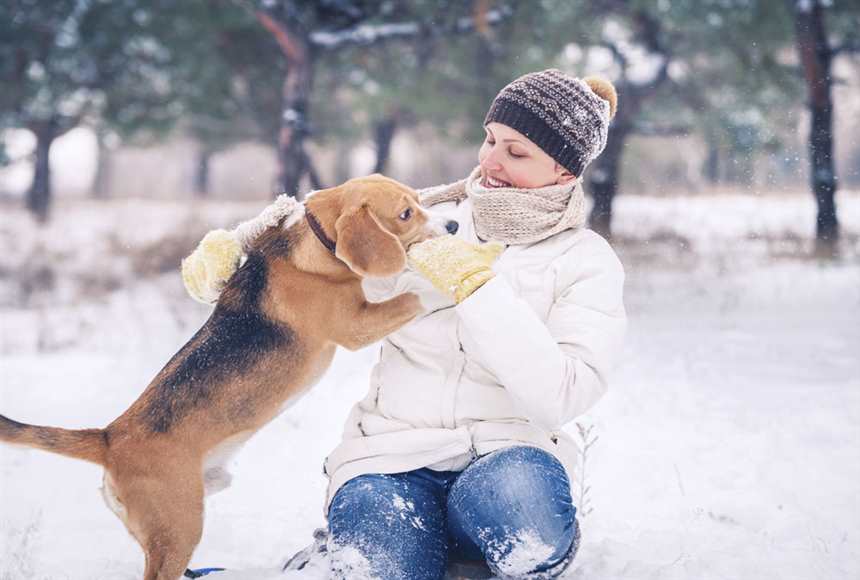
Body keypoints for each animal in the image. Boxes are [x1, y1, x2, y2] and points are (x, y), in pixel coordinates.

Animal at [0, 173, 456, 580]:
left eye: (419, 201)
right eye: (404, 213)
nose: (452, 227)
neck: (315, 242)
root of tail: (110, 437)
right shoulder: (356, 326)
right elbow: (412, 296)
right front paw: (446, 283)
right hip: (178, 531)